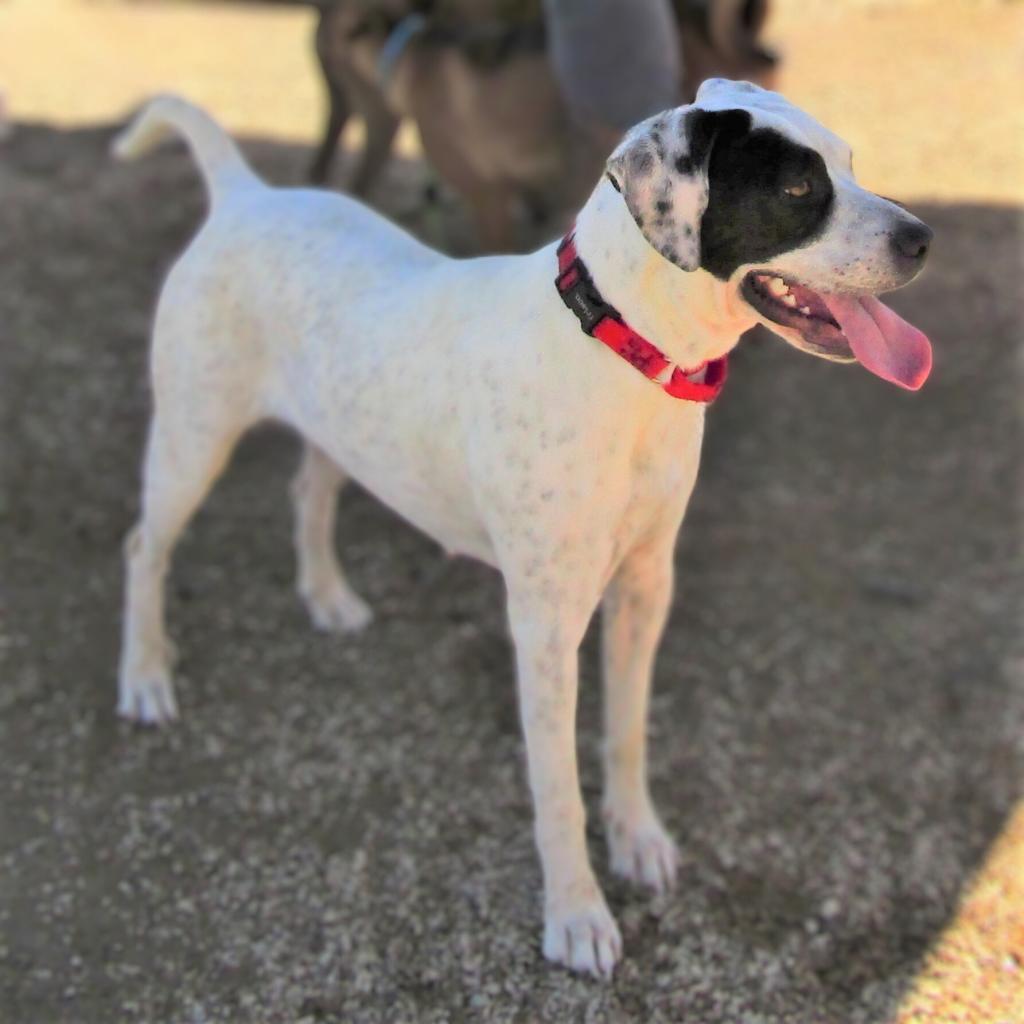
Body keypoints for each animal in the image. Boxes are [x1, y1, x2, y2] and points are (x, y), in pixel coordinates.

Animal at [114, 81, 937, 974]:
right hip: (193, 440)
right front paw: (576, 914)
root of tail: (244, 196)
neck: (621, 354)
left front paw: (637, 838)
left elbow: (627, 733)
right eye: (796, 188)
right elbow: (557, 788)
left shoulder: (646, 586)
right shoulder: (546, 628)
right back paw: (146, 676)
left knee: (309, 489)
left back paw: (326, 596)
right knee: (145, 549)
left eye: (850, 162)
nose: (924, 239)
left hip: (341, 425)